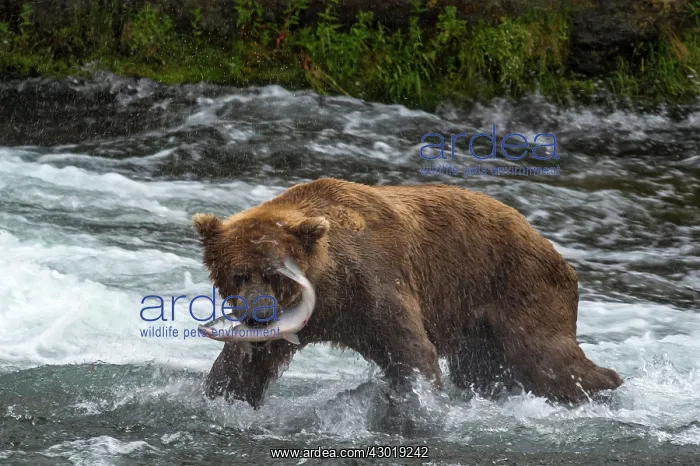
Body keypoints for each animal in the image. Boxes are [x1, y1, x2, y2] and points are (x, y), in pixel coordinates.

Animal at [192, 177, 622, 409]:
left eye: (277, 274)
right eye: (240, 274)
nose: (258, 313)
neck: (328, 290)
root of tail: (547, 242)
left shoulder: (374, 281)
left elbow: (408, 349)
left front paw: (416, 404)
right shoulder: (299, 320)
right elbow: (244, 366)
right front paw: (219, 395)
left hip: (517, 286)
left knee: (548, 359)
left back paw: (606, 383)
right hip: (477, 325)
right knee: (487, 369)